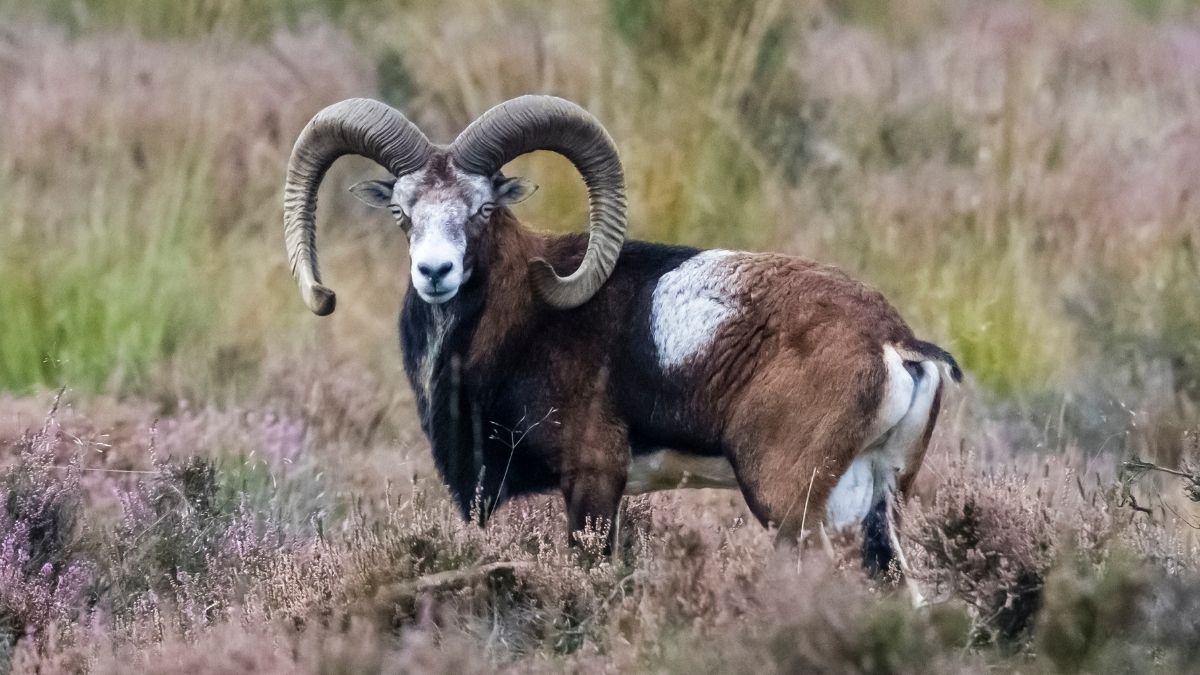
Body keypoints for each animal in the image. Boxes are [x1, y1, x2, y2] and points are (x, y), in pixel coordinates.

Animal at [282, 95, 961, 579]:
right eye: (403, 213)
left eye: (482, 209)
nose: (435, 272)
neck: (523, 324)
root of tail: (896, 345)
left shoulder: (593, 484)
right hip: (876, 510)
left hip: (794, 510)